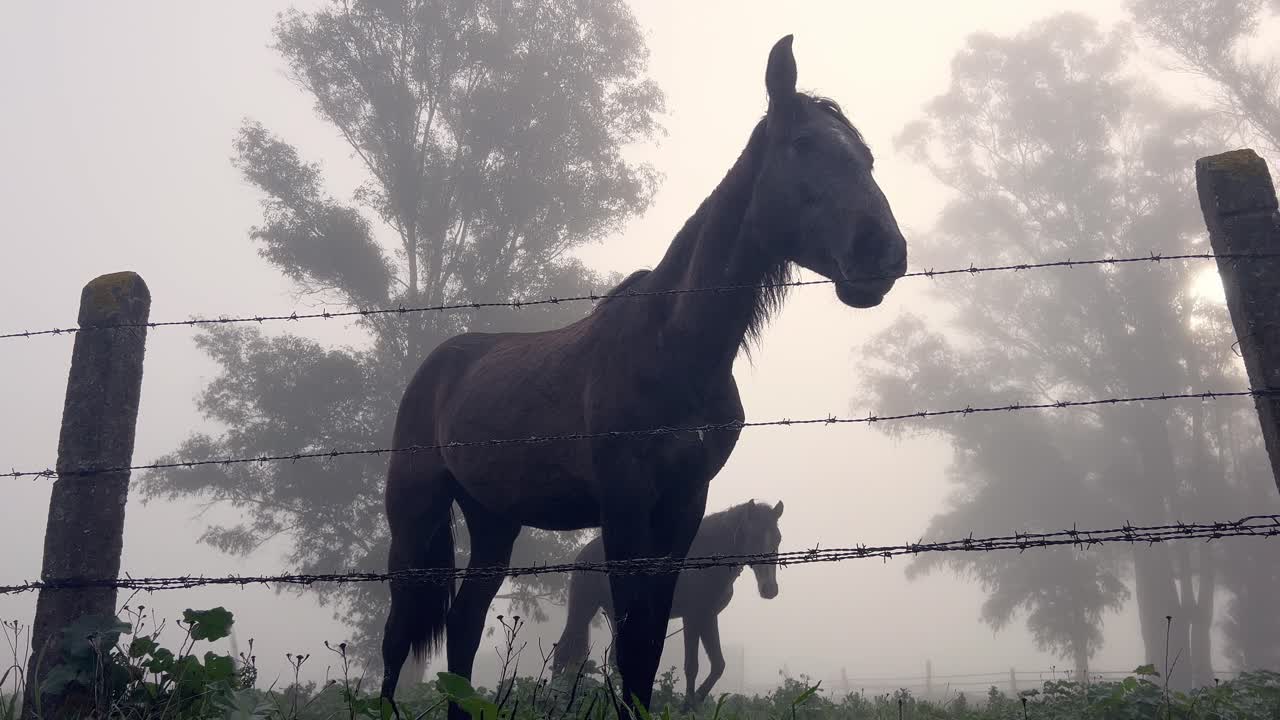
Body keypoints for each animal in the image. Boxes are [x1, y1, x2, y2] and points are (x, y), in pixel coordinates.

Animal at [551, 500, 785, 710]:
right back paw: (553, 696)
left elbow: (718, 665)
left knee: (613, 661)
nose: (769, 589)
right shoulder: (692, 617)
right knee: (562, 651)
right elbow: (692, 665)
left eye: (778, 538)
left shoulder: (708, 616)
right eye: (754, 536)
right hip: (583, 607)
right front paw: (687, 706)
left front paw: (696, 702)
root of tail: (584, 554)